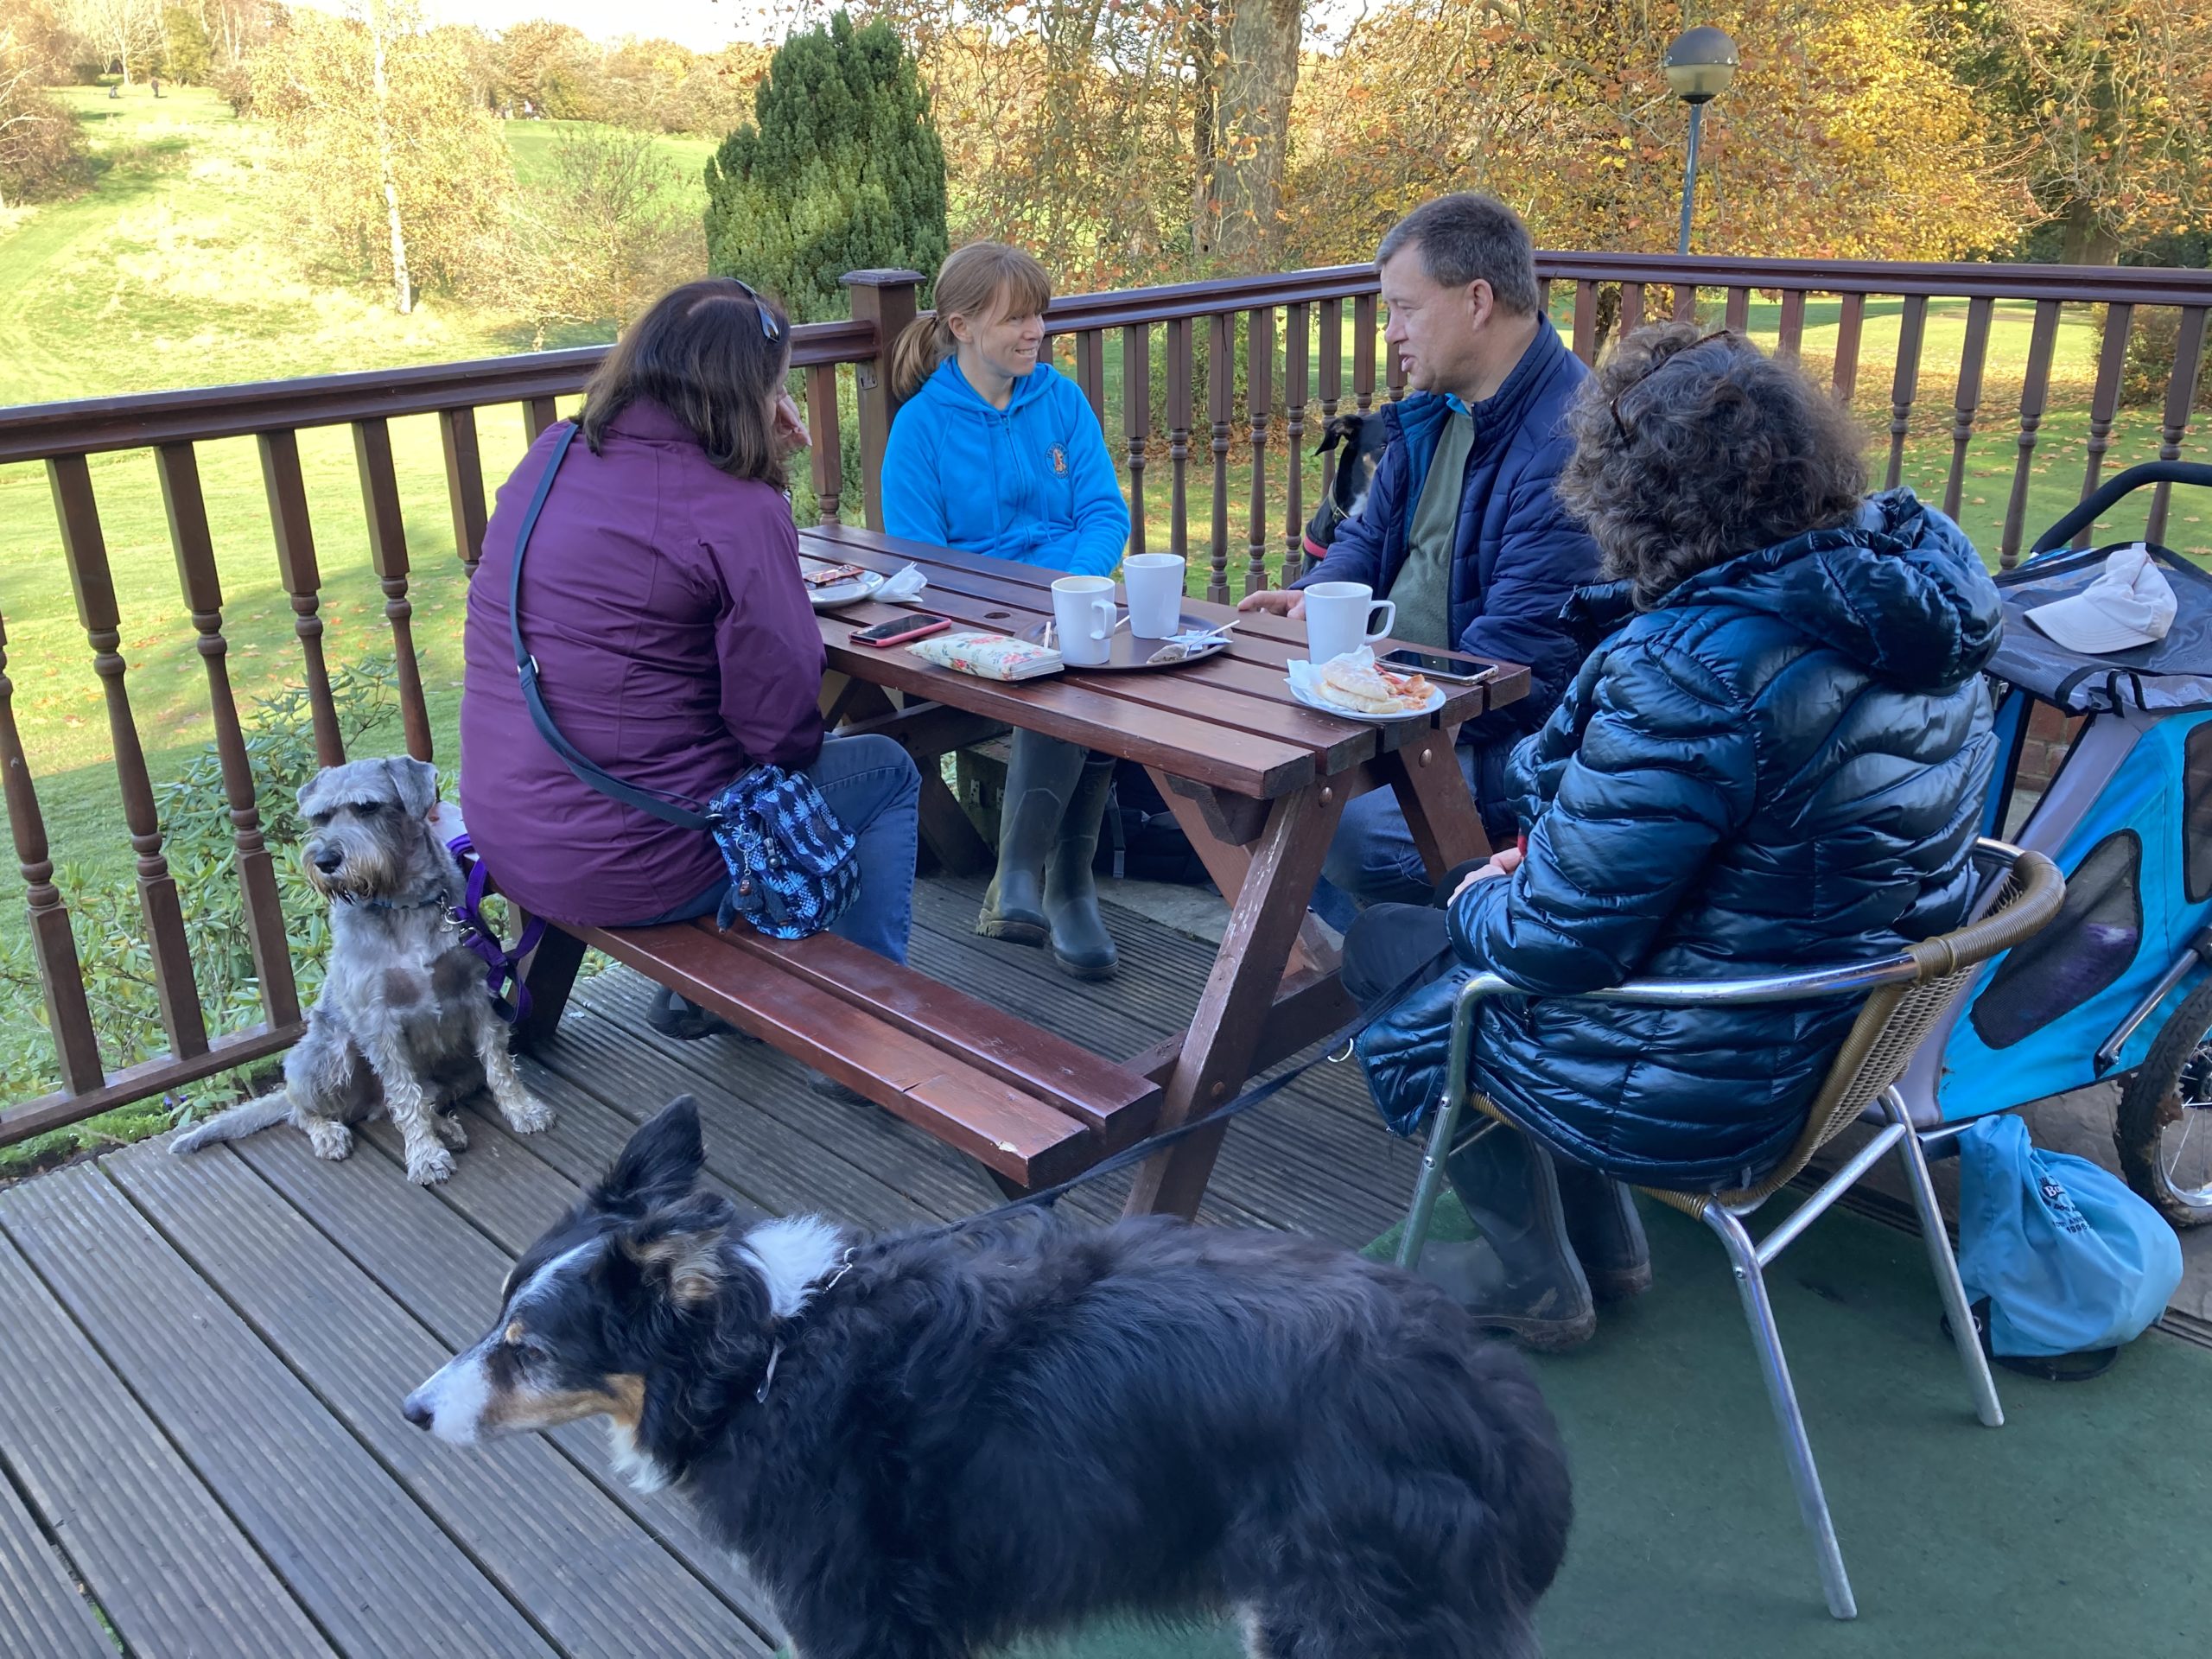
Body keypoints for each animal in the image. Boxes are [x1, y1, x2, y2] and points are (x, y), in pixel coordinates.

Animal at [172, 760, 553, 1185]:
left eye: (368, 807)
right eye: (320, 816)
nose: (325, 860)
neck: (403, 904)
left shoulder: (477, 993)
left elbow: (498, 1064)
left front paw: (523, 1109)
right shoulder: (378, 1020)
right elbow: (404, 1093)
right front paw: (425, 1156)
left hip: (458, 1069)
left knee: (412, 1102)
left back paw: (448, 1129)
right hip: (329, 1055)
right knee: (306, 1110)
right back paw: (330, 1133)